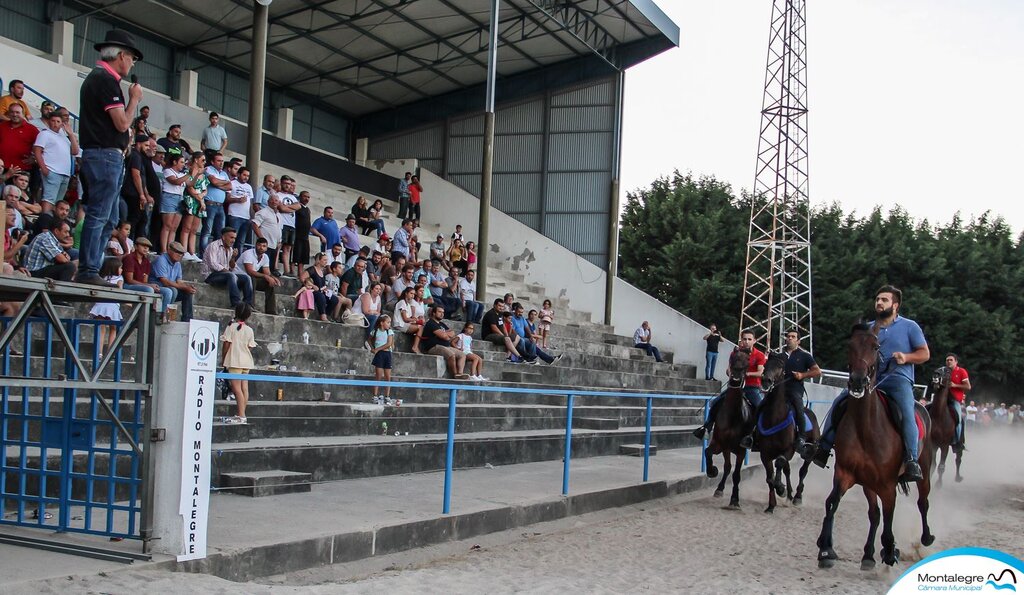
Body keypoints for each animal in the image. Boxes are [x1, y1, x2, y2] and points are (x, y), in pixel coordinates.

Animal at [704, 350, 753, 507]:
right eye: (732, 359)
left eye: (748, 361)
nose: (736, 375)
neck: (732, 415)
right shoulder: (720, 443)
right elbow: (708, 453)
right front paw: (712, 471)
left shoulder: (741, 450)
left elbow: (737, 474)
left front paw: (735, 499)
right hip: (726, 449)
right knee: (727, 467)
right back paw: (719, 489)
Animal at [757, 350, 819, 512]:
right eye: (766, 364)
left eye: (780, 366)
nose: (766, 380)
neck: (775, 418)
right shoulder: (765, 453)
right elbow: (770, 478)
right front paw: (771, 505)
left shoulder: (788, 450)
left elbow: (779, 464)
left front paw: (781, 489)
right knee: (788, 470)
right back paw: (790, 495)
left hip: (811, 450)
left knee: (803, 470)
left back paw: (797, 497)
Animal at [815, 325, 937, 569]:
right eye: (850, 345)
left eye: (875, 346)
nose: (857, 381)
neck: (867, 428)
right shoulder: (845, 473)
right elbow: (833, 502)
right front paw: (825, 549)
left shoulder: (887, 484)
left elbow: (890, 514)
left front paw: (890, 550)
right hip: (868, 483)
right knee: (874, 514)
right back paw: (868, 555)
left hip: (924, 469)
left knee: (922, 501)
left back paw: (926, 538)